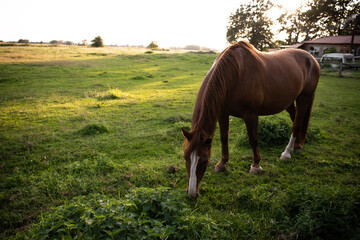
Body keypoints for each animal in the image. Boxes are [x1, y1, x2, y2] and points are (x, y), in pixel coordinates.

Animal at [181, 40, 320, 197]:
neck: (235, 74)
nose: (192, 193)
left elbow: (253, 140)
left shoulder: (251, 115)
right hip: (289, 101)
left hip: (304, 97)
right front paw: (222, 164)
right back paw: (297, 145)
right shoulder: (223, 113)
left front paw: (256, 166)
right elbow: (223, 138)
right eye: (185, 157)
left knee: (297, 123)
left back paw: (287, 152)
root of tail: (311, 58)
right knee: (295, 118)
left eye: (204, 161)